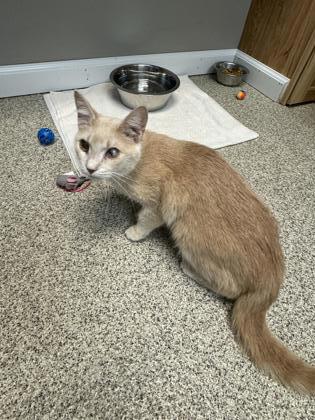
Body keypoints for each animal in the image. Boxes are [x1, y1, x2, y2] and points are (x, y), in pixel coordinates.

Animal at [74, 89, 315, 394]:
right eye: (84, 144)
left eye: (112, 152)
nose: (90, 168)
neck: (142, 158)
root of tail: (272, 278)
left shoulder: (162, 202)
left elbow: (147, 219)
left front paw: (135, 230)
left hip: (187, 230)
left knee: (228, 288)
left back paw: (188, 267)